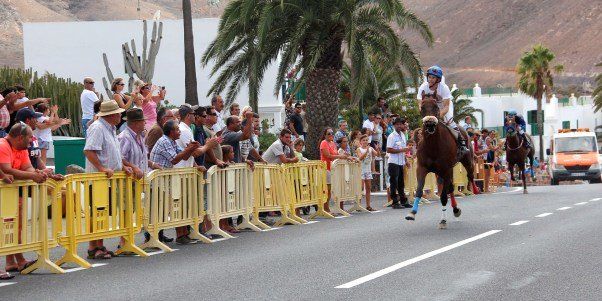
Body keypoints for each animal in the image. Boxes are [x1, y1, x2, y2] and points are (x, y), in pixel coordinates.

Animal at [404, 97, 474, 229]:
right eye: (422, 107)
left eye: (436, 107)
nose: (430, 124)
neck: (433, 146)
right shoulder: (421, 168)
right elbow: (419, 190)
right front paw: (412, 213)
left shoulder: (446, 169)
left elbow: (443, 197)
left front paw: (443, 220)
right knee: (450, 188)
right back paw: (456, 209)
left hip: (465, 161)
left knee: (468, 175)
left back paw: (473, 190)